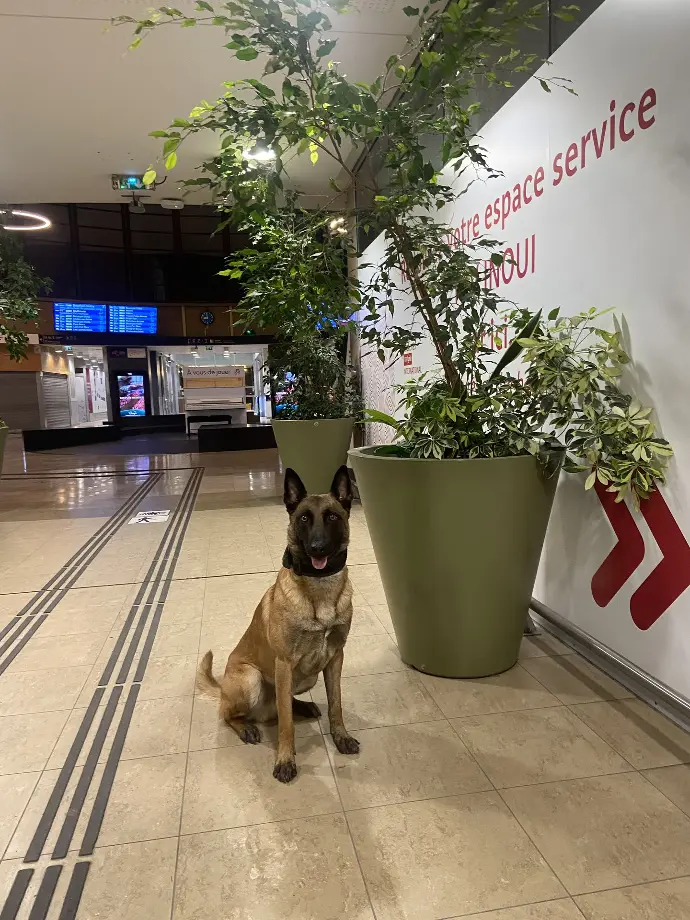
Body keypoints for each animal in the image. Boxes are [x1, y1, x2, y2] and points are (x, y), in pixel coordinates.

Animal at [196, 464, 358, 780]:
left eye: (332, 517)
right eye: (304, 518)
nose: (317, 548)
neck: (320, 588)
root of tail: (222, 688)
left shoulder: (335, 657)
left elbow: (337, 704)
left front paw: (341, 736)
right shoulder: (283, 663)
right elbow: (286, 725)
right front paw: (285, 759)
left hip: (305, 677)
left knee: (285, 704)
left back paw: (303, 707)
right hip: (251, 678)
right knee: (230, 713)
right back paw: (245, 727)